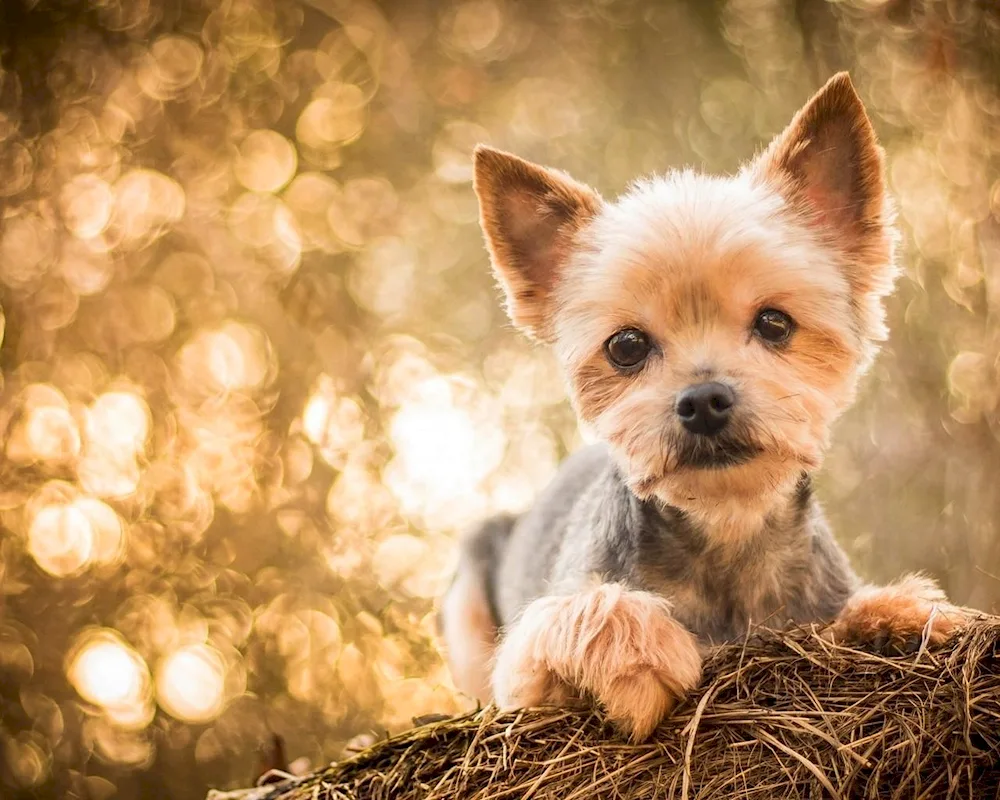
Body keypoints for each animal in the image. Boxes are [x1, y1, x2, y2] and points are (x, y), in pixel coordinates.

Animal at [436, 72, 968, 740]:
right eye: (626, 345)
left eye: (774, 322)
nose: (704, 400)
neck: (725, 530)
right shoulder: (526, 670)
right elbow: (581, 613)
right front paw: (640, 656)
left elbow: (858, 607)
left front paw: (905, 612)